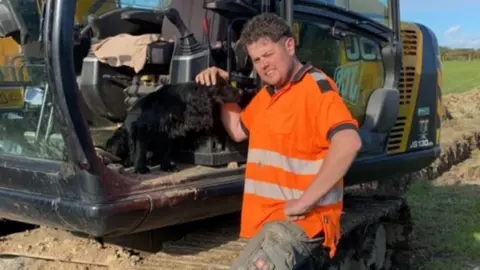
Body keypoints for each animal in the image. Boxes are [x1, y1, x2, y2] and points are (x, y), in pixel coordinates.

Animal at [103, 79, 242, 173]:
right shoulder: (142, 128)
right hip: (118, 139)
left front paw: (166, 166)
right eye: (222, 85)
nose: (240, 91)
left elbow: (164, 151)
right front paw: (141, 168)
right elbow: (140, 150)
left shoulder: (165, 132)